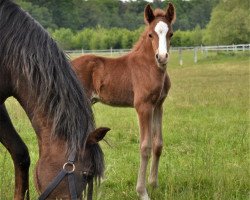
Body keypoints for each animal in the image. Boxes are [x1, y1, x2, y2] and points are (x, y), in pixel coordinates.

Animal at [71, 2, 175, 199]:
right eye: (151, 34)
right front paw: (142, 191)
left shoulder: (158, 105)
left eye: (170, 33)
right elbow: (145, 146)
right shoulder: (143, 106)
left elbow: (158, 144)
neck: (150, 67)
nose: (162, 57)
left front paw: (154, 185)